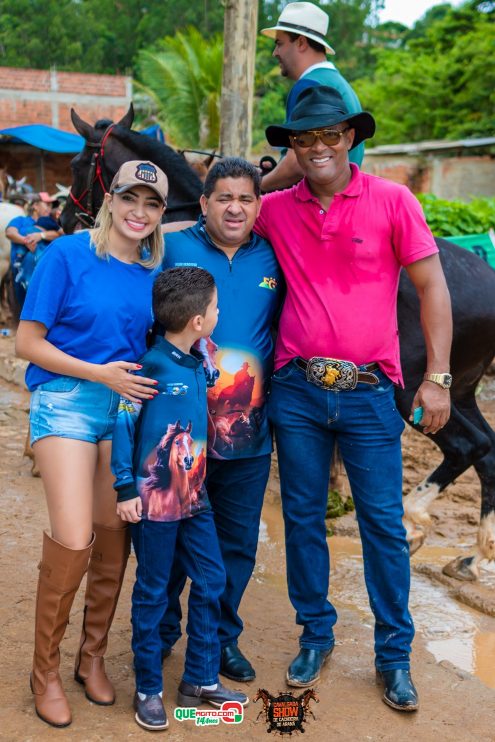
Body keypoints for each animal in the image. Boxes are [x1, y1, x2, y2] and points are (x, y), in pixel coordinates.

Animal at [61, 106, 495, 580]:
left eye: (78, 164)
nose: (64, 219)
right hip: (461, 389)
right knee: (486, 447)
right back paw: (474, 552)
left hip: (415, 392)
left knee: (468, 446)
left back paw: (415, 520)